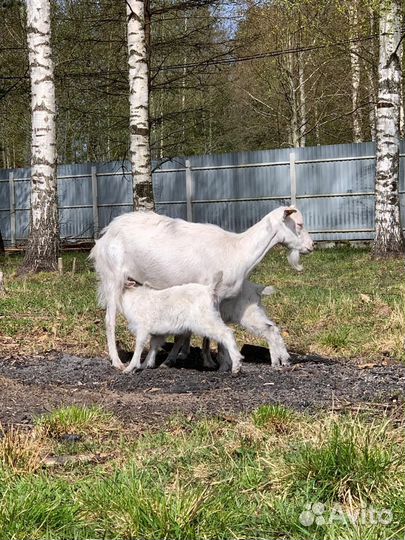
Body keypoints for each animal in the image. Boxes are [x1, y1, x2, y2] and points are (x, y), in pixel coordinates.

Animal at [90, 205, 314, 370]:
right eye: (299, 224)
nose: (311, 246)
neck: (237, 250)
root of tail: (104, 236)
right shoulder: (209, 291)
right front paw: (212, 361)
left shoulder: (218, 299)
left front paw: (213, 359)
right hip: (113, 278)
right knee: (109, 320)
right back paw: (117, 362)